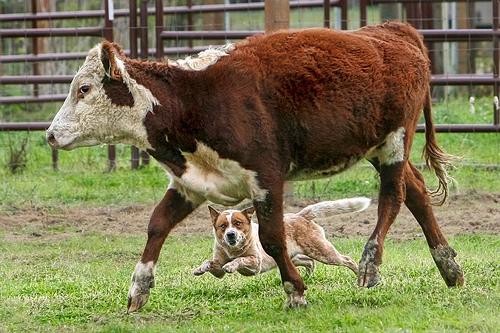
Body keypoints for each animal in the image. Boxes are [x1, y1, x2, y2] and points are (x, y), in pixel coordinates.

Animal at [193, 197, 370, 278]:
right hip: (293, 257)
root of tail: (301, 215)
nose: (230, 234)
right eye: (223, 226)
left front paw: (231, 265)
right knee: (309, 262)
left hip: (324, 252)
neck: (233, 250)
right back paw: (307, 278)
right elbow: (210, 262)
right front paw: (200, 269)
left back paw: (361, 277)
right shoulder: (218, 270)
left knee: (347, 259)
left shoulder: (255, 264)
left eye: (238, 223)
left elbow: (240, 259)